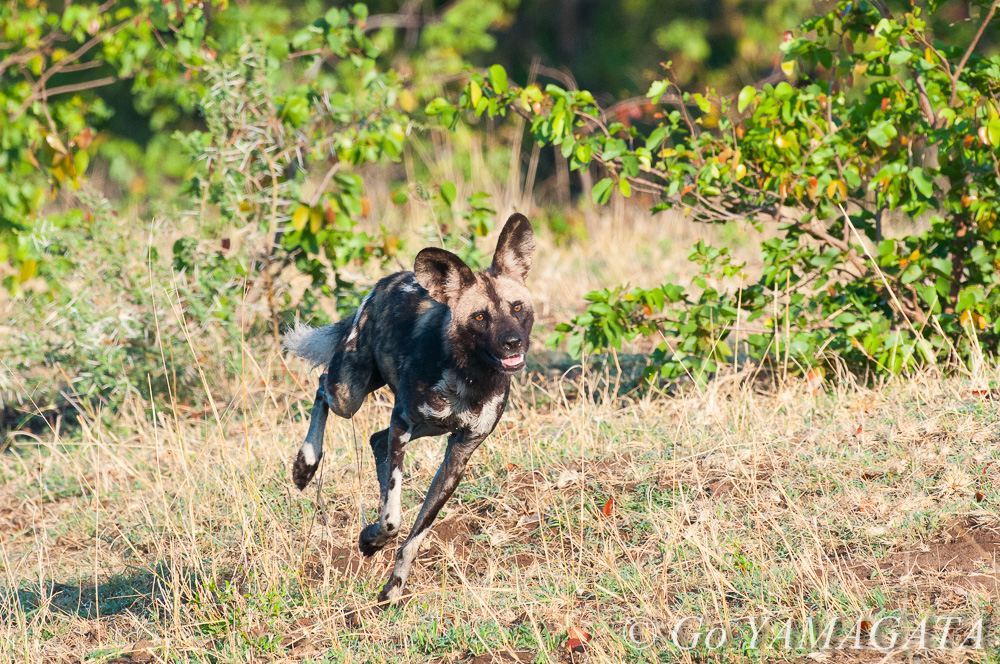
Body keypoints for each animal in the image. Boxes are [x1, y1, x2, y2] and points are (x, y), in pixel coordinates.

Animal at [284, 214, 532, 608]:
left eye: (517, 307)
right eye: (480, 317)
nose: (513, 343)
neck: (470, 377)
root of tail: (387, 280)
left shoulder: (458, 454)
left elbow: (415, 533)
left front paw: (394, 585)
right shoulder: (403, 423)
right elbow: (393, 520)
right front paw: (373, 538)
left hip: (416, 422)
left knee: (375, 440)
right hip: (349, 393)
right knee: (323, 385)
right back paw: (305, 466)